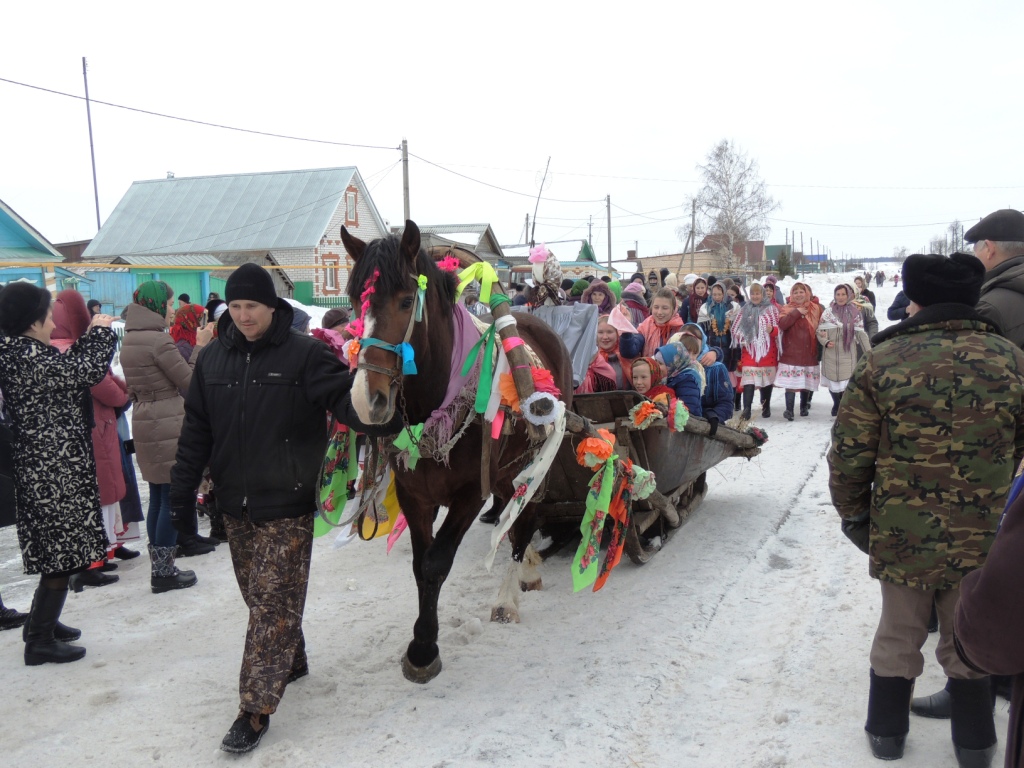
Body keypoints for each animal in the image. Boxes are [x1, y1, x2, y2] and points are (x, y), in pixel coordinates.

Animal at [339, 219, 573, 684]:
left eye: (406, 300)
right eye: (356, 301)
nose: (366, 400)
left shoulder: (468, 495)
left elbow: (436, 563)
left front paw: (423, 648)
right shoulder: (415, 495)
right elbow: (420, 565)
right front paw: (421, 640)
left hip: (538, 459)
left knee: (524, 521)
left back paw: (508, 595)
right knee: (513, 514)